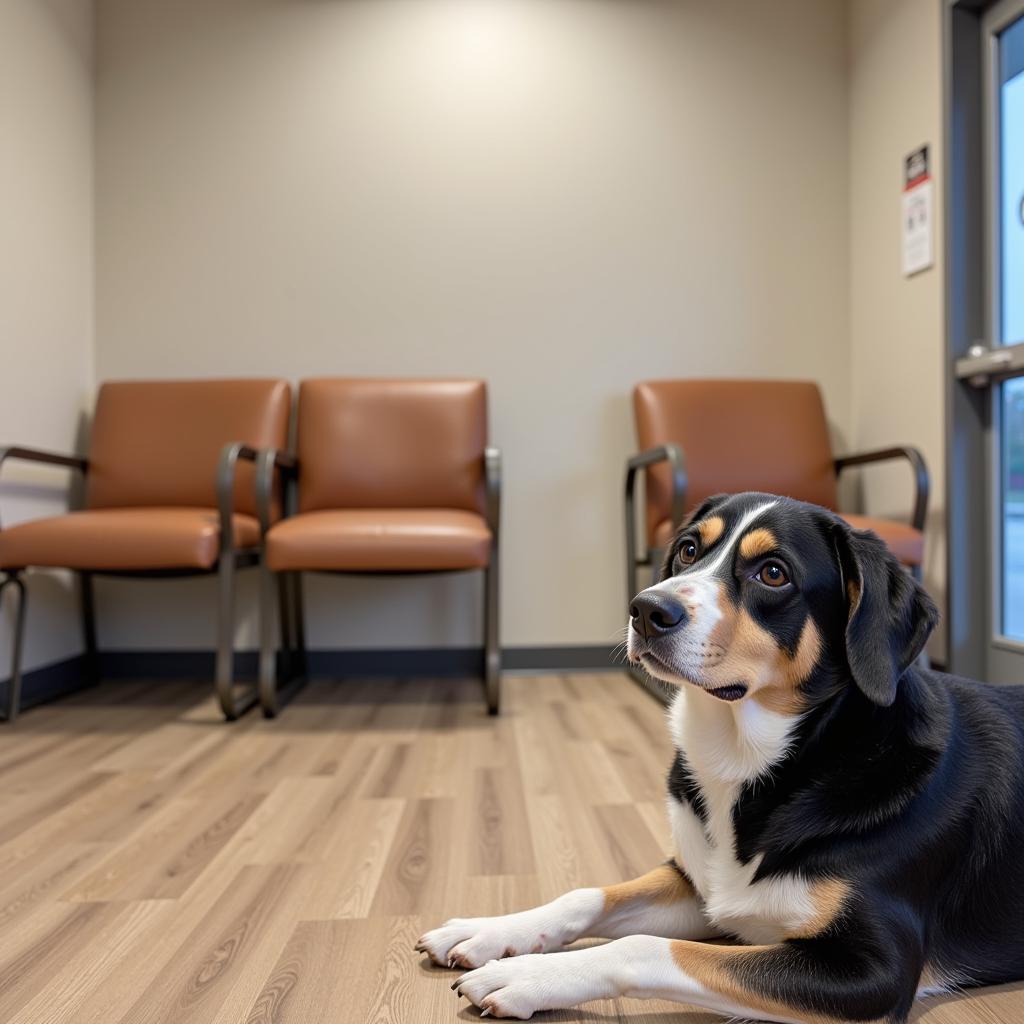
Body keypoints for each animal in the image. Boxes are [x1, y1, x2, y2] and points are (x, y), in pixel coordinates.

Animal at [415, 491, 1024, 1019]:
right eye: (689, 549)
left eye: (773, 573)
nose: (646, 609)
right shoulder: (699, 885)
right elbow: (585, 896)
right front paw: (489, 931)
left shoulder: (873, 971)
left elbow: (642, 947)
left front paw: (526, 976)